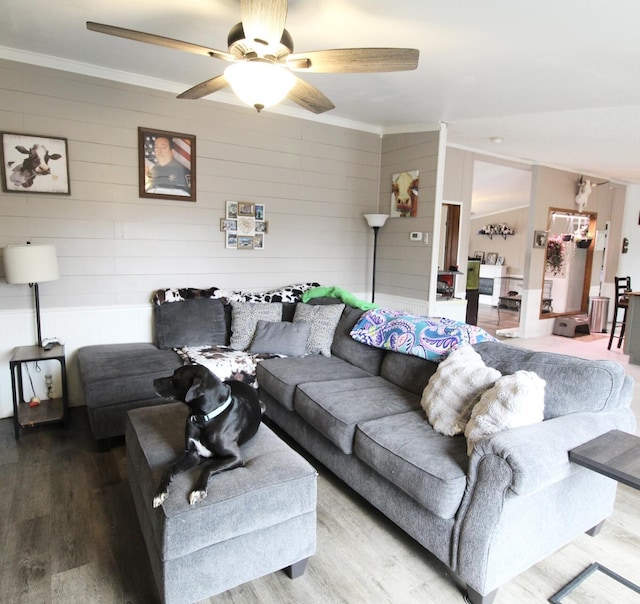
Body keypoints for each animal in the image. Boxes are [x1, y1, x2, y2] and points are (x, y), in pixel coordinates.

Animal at [152, 366, 264, 508]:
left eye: (175, 377)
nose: (153, 381)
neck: (205, 418)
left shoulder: (236, 457)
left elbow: (208, 467)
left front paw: (198, 491)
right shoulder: (192, 454)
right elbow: (168, 468)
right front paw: (160, 492)